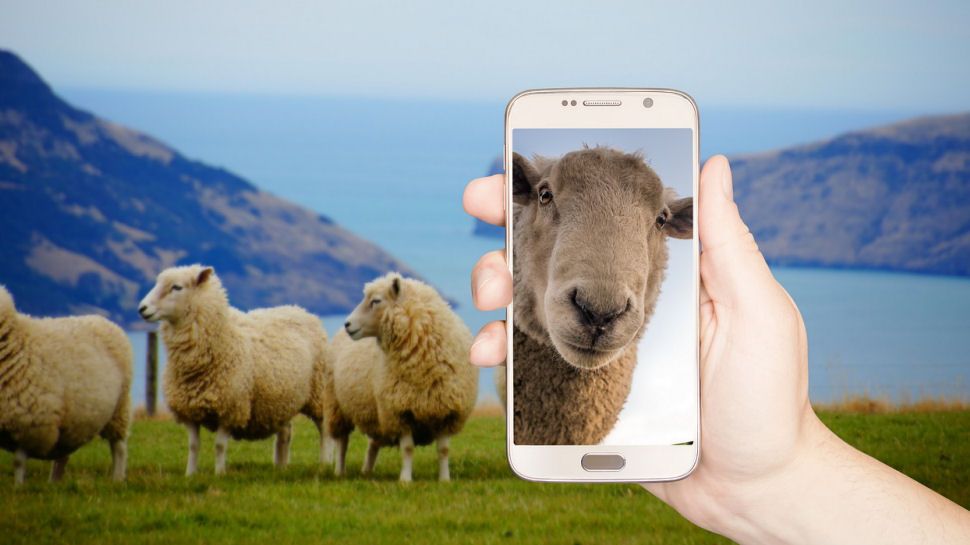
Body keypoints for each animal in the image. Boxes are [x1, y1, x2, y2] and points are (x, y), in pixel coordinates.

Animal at [0, 282, 130, 482]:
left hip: (119, 409)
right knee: (62, 457)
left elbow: (19, 462)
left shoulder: (30, 423)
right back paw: (54, 483)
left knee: (119, 447)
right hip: (71, 421)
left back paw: (117, 478)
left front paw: (19, 486)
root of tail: (101, 319)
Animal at [138, 266, 330, 474]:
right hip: (281, 399)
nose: (142, 308)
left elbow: (220, 445)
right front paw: (190, 474)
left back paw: (325, 463)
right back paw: (280, 466)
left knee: (324, 429)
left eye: (177, 287)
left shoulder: (230, 408)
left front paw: (219, 474)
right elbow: (193, 446)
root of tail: (299, 309)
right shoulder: (189, 410)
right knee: (285, 433)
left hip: (318, 393)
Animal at [324, 272, 478, 480]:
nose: (347, 323)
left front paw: (445, 479)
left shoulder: (446, 411)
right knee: (342, 442)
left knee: (373, 443)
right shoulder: (400, 411)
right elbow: (408, 449)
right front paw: (405, 479)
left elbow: (444, 450)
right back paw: (340, 472)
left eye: (376, 301)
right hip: (338, 406)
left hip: (375, 413)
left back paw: (367, 471)